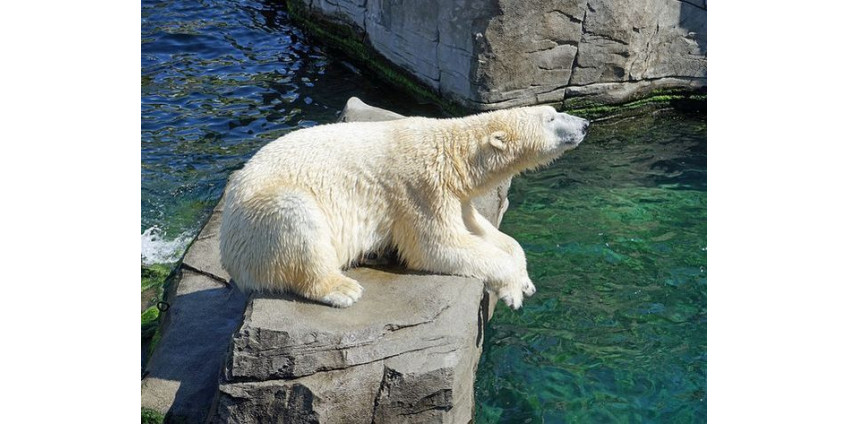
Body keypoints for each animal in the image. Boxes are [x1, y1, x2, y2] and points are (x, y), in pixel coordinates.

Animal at [220, 104, 588, 310]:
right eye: (551, 117)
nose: (585, 124)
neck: (453, 153)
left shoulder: (454, 194)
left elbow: (485, 232)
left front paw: (525, 280)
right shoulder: (420, 188)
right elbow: (436, 246)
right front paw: (512, 290)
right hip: (260, 217)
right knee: (296, 218)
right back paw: (342, 289)